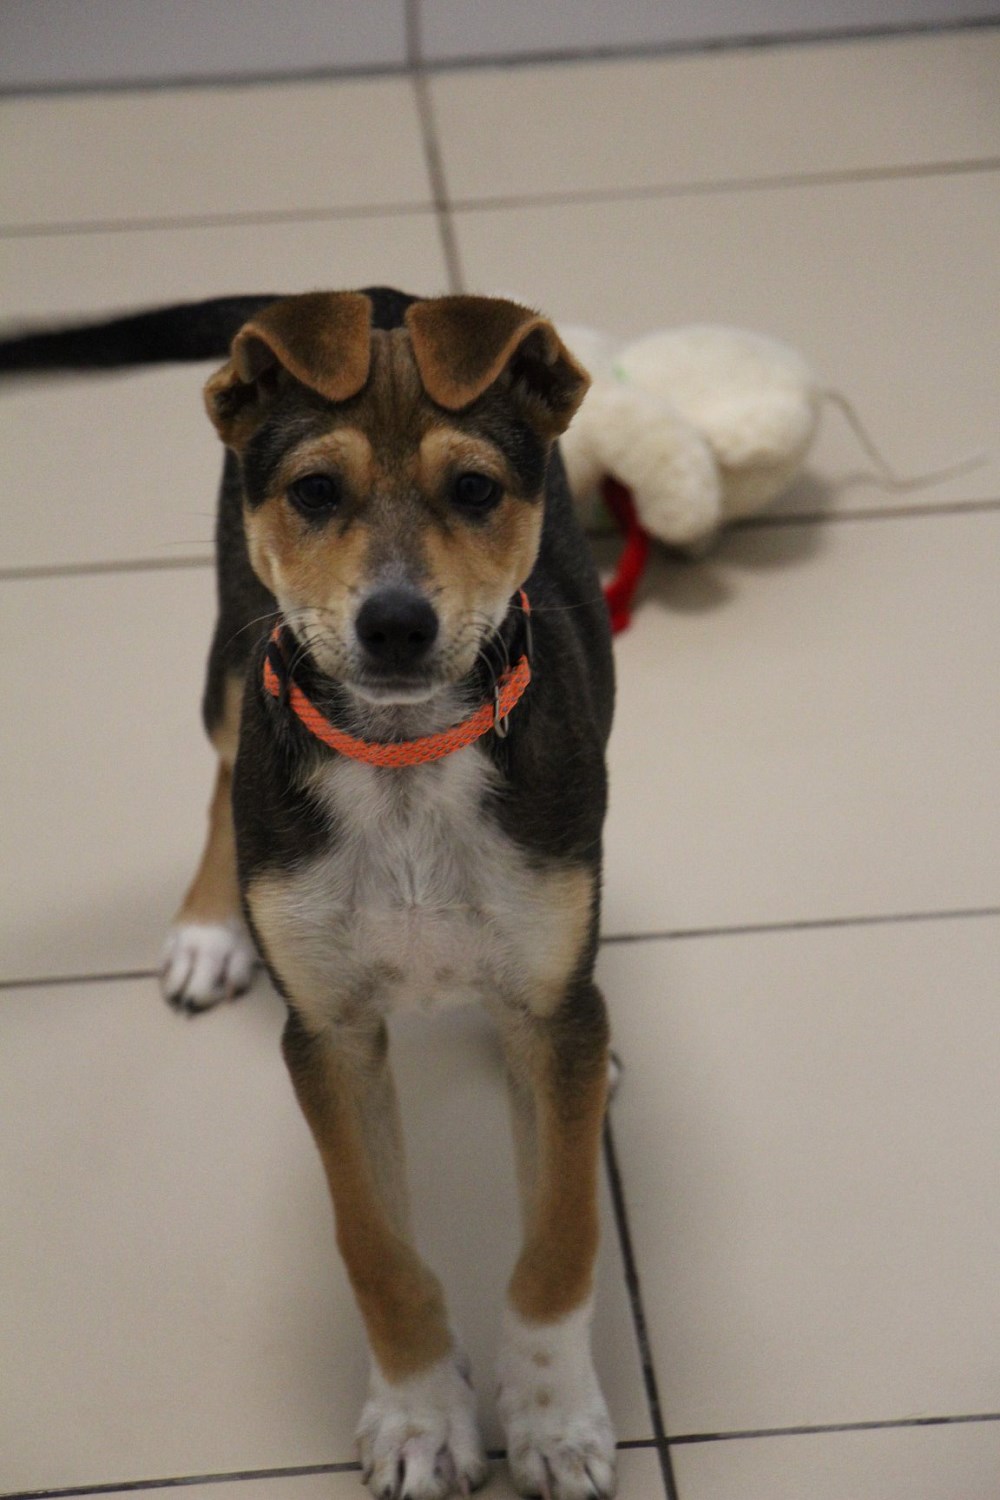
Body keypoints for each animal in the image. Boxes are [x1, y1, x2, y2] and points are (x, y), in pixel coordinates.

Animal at [2, 288, 617, 1500]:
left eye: (476, 490)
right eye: (315, 492)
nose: (396, 626)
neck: (406, 760)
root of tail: (374, 293)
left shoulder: (556, 1011)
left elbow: (559, 1240)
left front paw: (553, 1416)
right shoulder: (328, 1036)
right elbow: (372, 1247)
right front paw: (421, 1414)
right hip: (229, 659)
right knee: (224, 760)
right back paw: (208, 928)